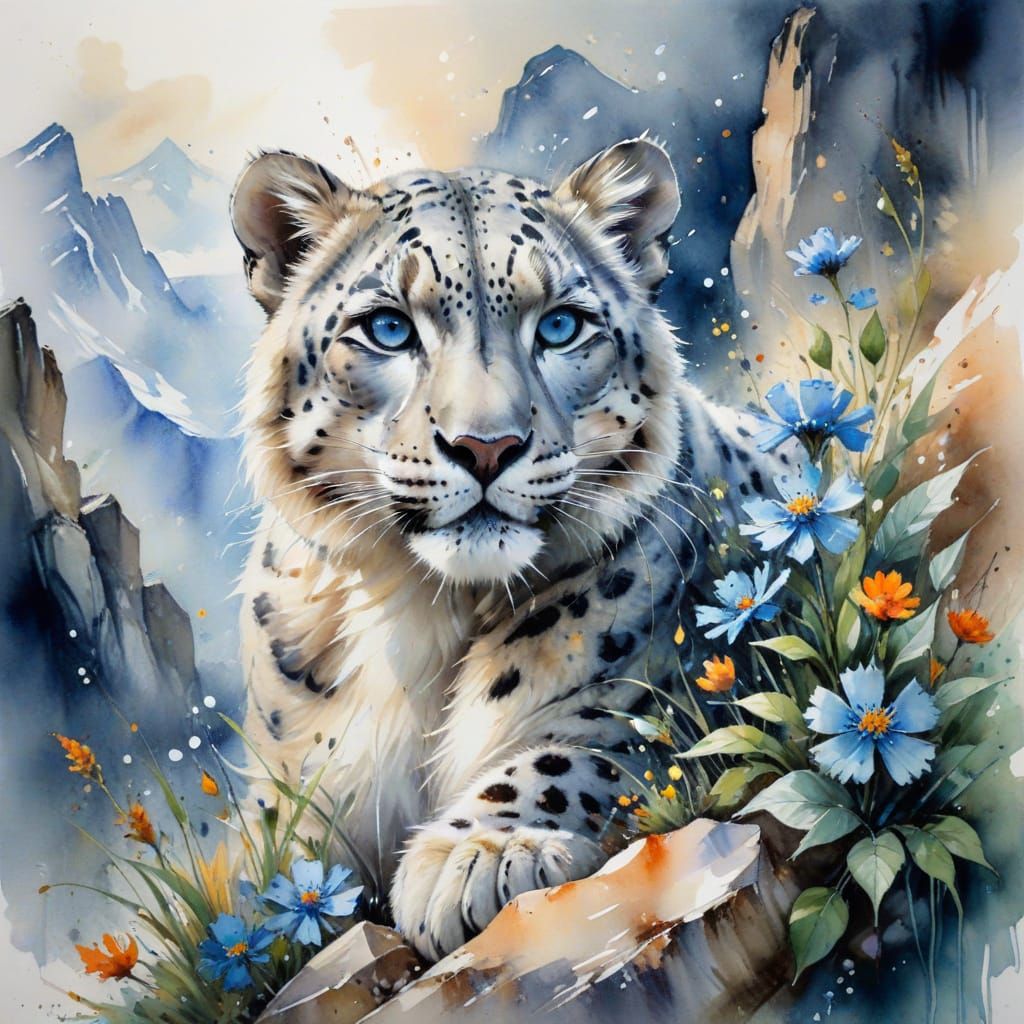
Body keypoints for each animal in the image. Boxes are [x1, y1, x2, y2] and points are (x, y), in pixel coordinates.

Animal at [229, 137, 767, 961]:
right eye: (388, 328)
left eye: (561, 326)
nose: (487, 447)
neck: (416, 619)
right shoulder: (290, 790)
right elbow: (279, 864)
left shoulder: (642, 698)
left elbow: (568, 754)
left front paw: (477, 855)